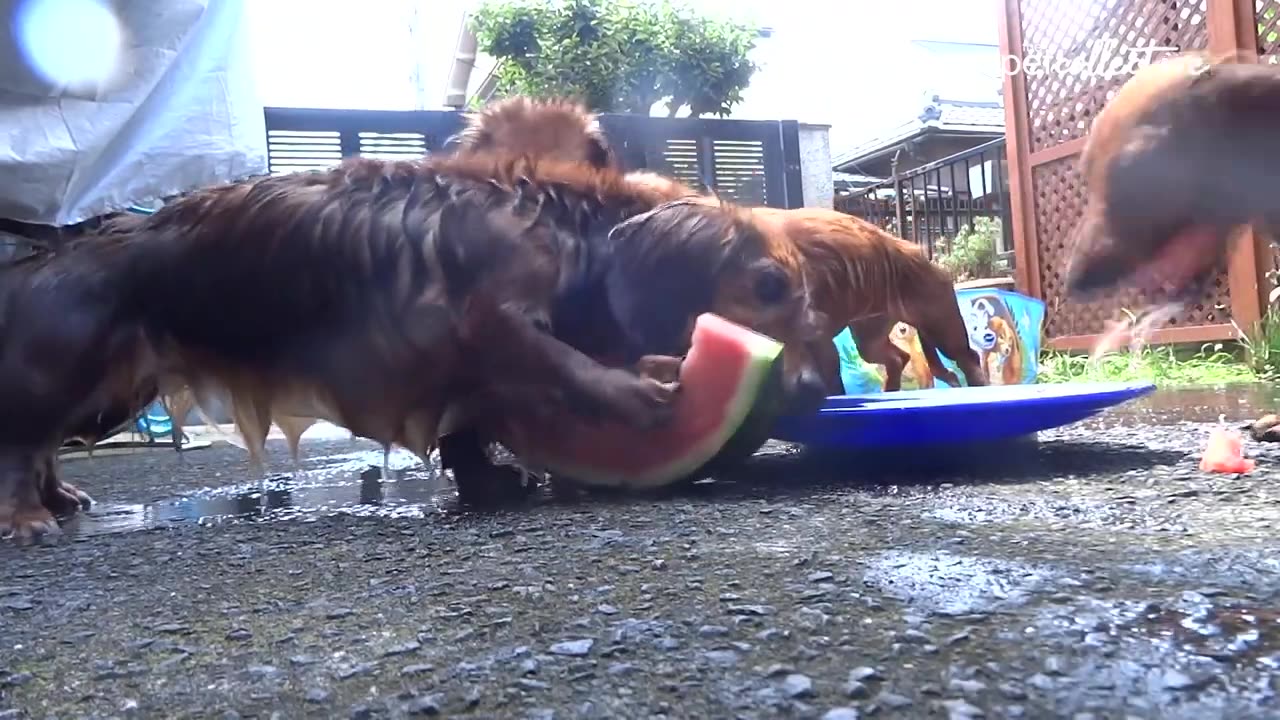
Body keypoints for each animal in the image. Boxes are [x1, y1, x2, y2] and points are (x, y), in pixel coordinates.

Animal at [0, 144, 824, 538]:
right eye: (770, 287)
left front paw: (490, 481)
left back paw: (62, 497)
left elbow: (468, 431)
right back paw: (27, 518)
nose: (818, 391)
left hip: (110, 395)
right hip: (60, 373)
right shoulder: (483, 314)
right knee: (18, 445)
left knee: (42, 445)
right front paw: (638, 390)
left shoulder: (454, 374)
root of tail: (51, 250)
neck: (570, 232)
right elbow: (556, 361)